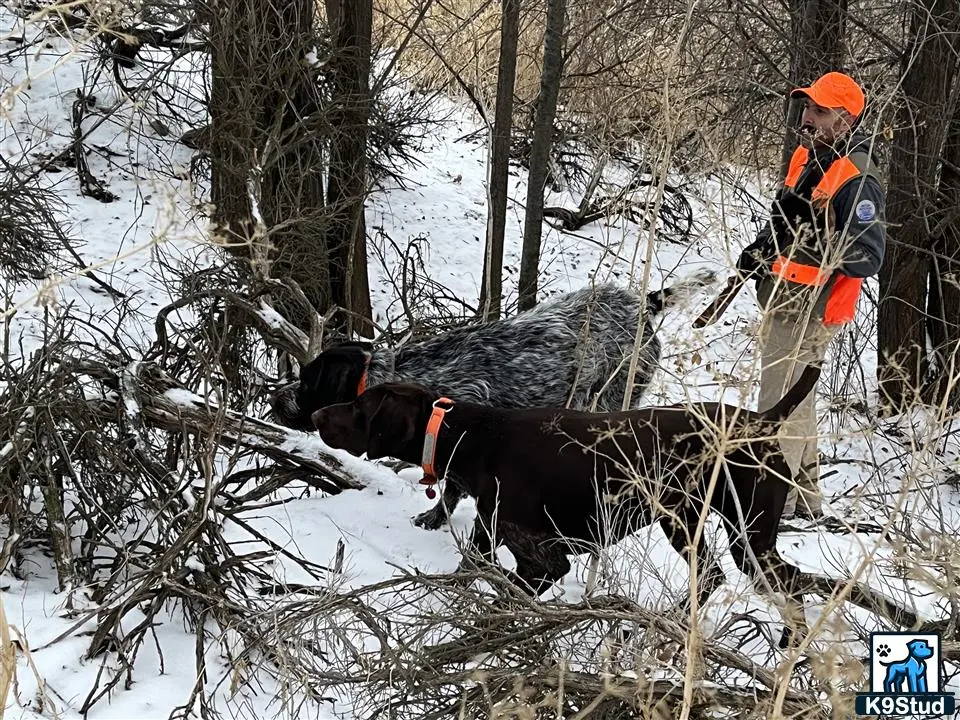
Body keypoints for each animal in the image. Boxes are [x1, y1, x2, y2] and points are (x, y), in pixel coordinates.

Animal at [268, 270, 712, 528]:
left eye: (307, 383)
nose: (274, 399)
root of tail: (642, 304)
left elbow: (451, 491)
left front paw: (436, 518)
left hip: (611, 398)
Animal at [312, 366, 820, 648]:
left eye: (359, 406)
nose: (315, 414)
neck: (474, 437)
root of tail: (764, 421)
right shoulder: (489, 536)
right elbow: (469, 571)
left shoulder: (544, 560)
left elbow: (503, 599)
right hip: (695, 522)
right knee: (721, 576)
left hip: (744, 534)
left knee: (778, 583)